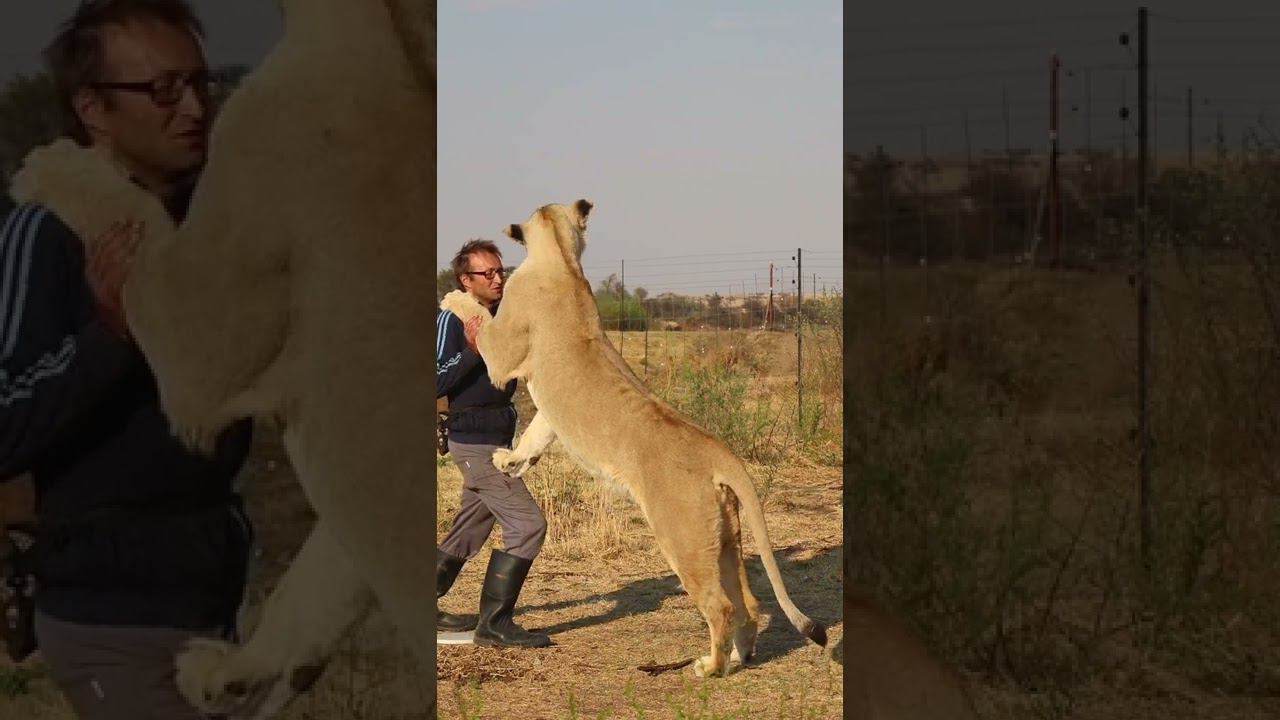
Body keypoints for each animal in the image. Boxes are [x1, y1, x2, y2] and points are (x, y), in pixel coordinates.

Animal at [438, 199, 827, 678]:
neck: (562, 261)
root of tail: (719, 451)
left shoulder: (503, 354)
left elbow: (479, 317)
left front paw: (453, 297)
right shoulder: (545, 407)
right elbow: (536, 432)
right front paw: (509, 462)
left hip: (682, 535)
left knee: (719, 607)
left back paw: (708, 667)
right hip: (723, 539)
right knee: (748, 603)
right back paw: (739, 657)